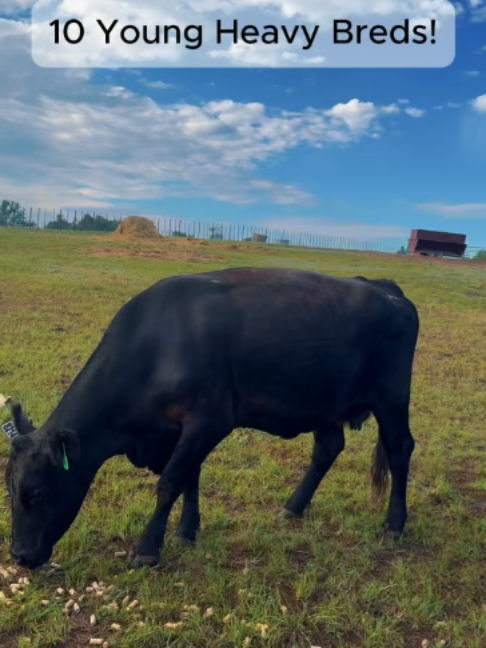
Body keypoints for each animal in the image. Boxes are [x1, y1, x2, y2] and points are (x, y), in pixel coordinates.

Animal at [5, 267, 419, 570]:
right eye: (9, 490)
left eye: (36, 493)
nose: (19, 557)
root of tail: (382, 286)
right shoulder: (183, 429)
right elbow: (190, 478)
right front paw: (186, 531)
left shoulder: (209, 422)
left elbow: (171, 482)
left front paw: (147, 548)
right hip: (324, 401)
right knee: (328, 447)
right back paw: (293, 507)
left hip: (390, 396)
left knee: (400, 448)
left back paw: (394, 524)